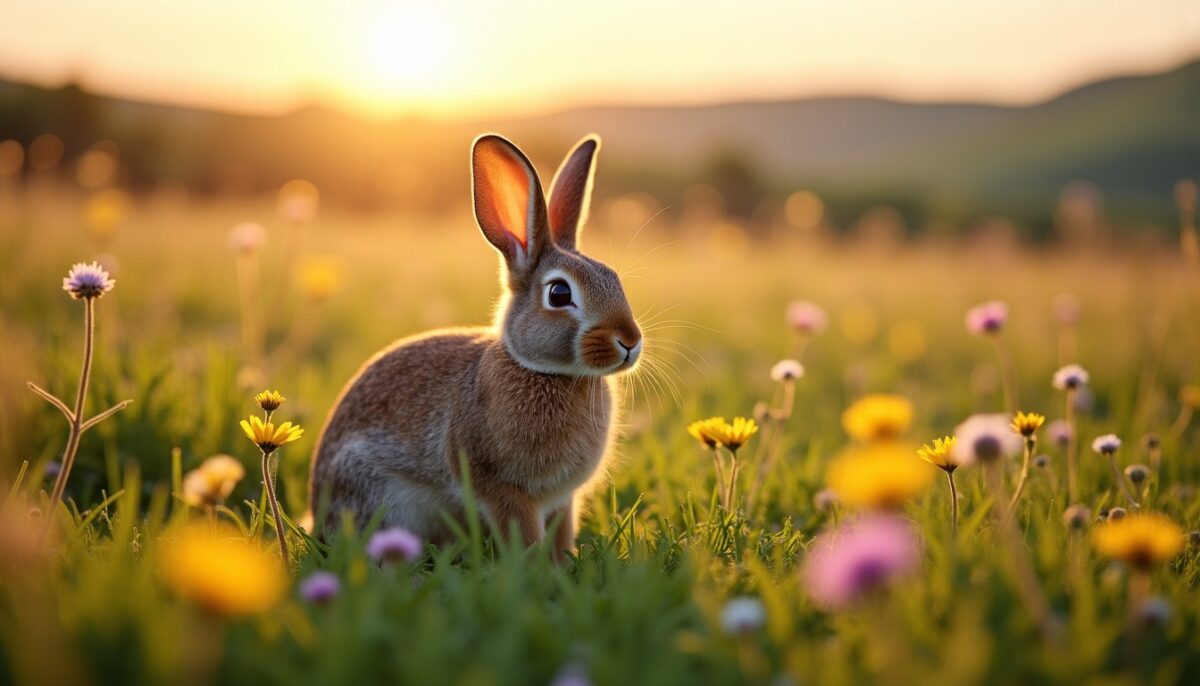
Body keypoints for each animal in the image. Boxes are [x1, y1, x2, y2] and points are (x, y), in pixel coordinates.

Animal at [308, 134, 642, 557]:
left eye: (614, 279)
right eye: (559, 293)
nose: (630, 342)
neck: (545, 372)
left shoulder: (562, 499)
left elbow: (561, 533)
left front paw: (563, 562)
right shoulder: (501, 490)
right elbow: (522, 534)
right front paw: (533, 566)